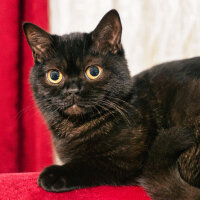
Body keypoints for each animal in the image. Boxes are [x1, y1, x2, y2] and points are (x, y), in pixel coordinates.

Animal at [22, 9, 200, 198]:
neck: (75, 127)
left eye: (93, 71)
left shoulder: (127, 161)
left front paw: (54, 174)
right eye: (54, 76)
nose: (73, 90)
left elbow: (90, 163)